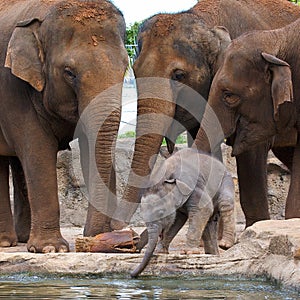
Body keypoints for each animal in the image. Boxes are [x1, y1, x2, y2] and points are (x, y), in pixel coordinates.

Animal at [0, 0, 127, 253]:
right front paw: (51, 248)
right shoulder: (13, 87)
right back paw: (6, 242)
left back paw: (21, 238)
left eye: (126, 68)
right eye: (69, 73)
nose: (92, 237)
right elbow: (38, 151)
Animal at [131, 149, 234, 278]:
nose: (131, 274)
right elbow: (177, 220)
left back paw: (225, 245)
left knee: (225, 203)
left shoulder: (193, 186)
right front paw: (160, 251)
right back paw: (213, 255)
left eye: (161, 212)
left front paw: (188, 252)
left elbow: (203, 208)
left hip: (225, 180)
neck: (165, 177)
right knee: (208, 223)